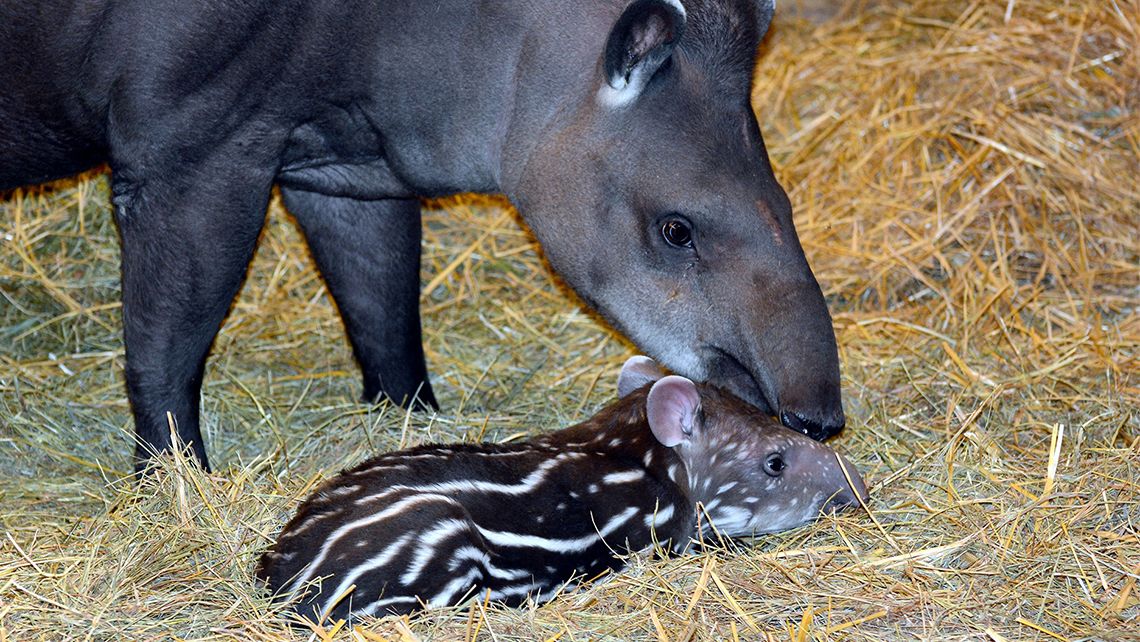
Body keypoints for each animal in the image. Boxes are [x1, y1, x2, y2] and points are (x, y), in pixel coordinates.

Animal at [256, 355, 861, 624]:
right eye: (775, 463)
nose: (858, 489)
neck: (634, 450)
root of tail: (281, 582)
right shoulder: (657, 535)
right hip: (439, 539)